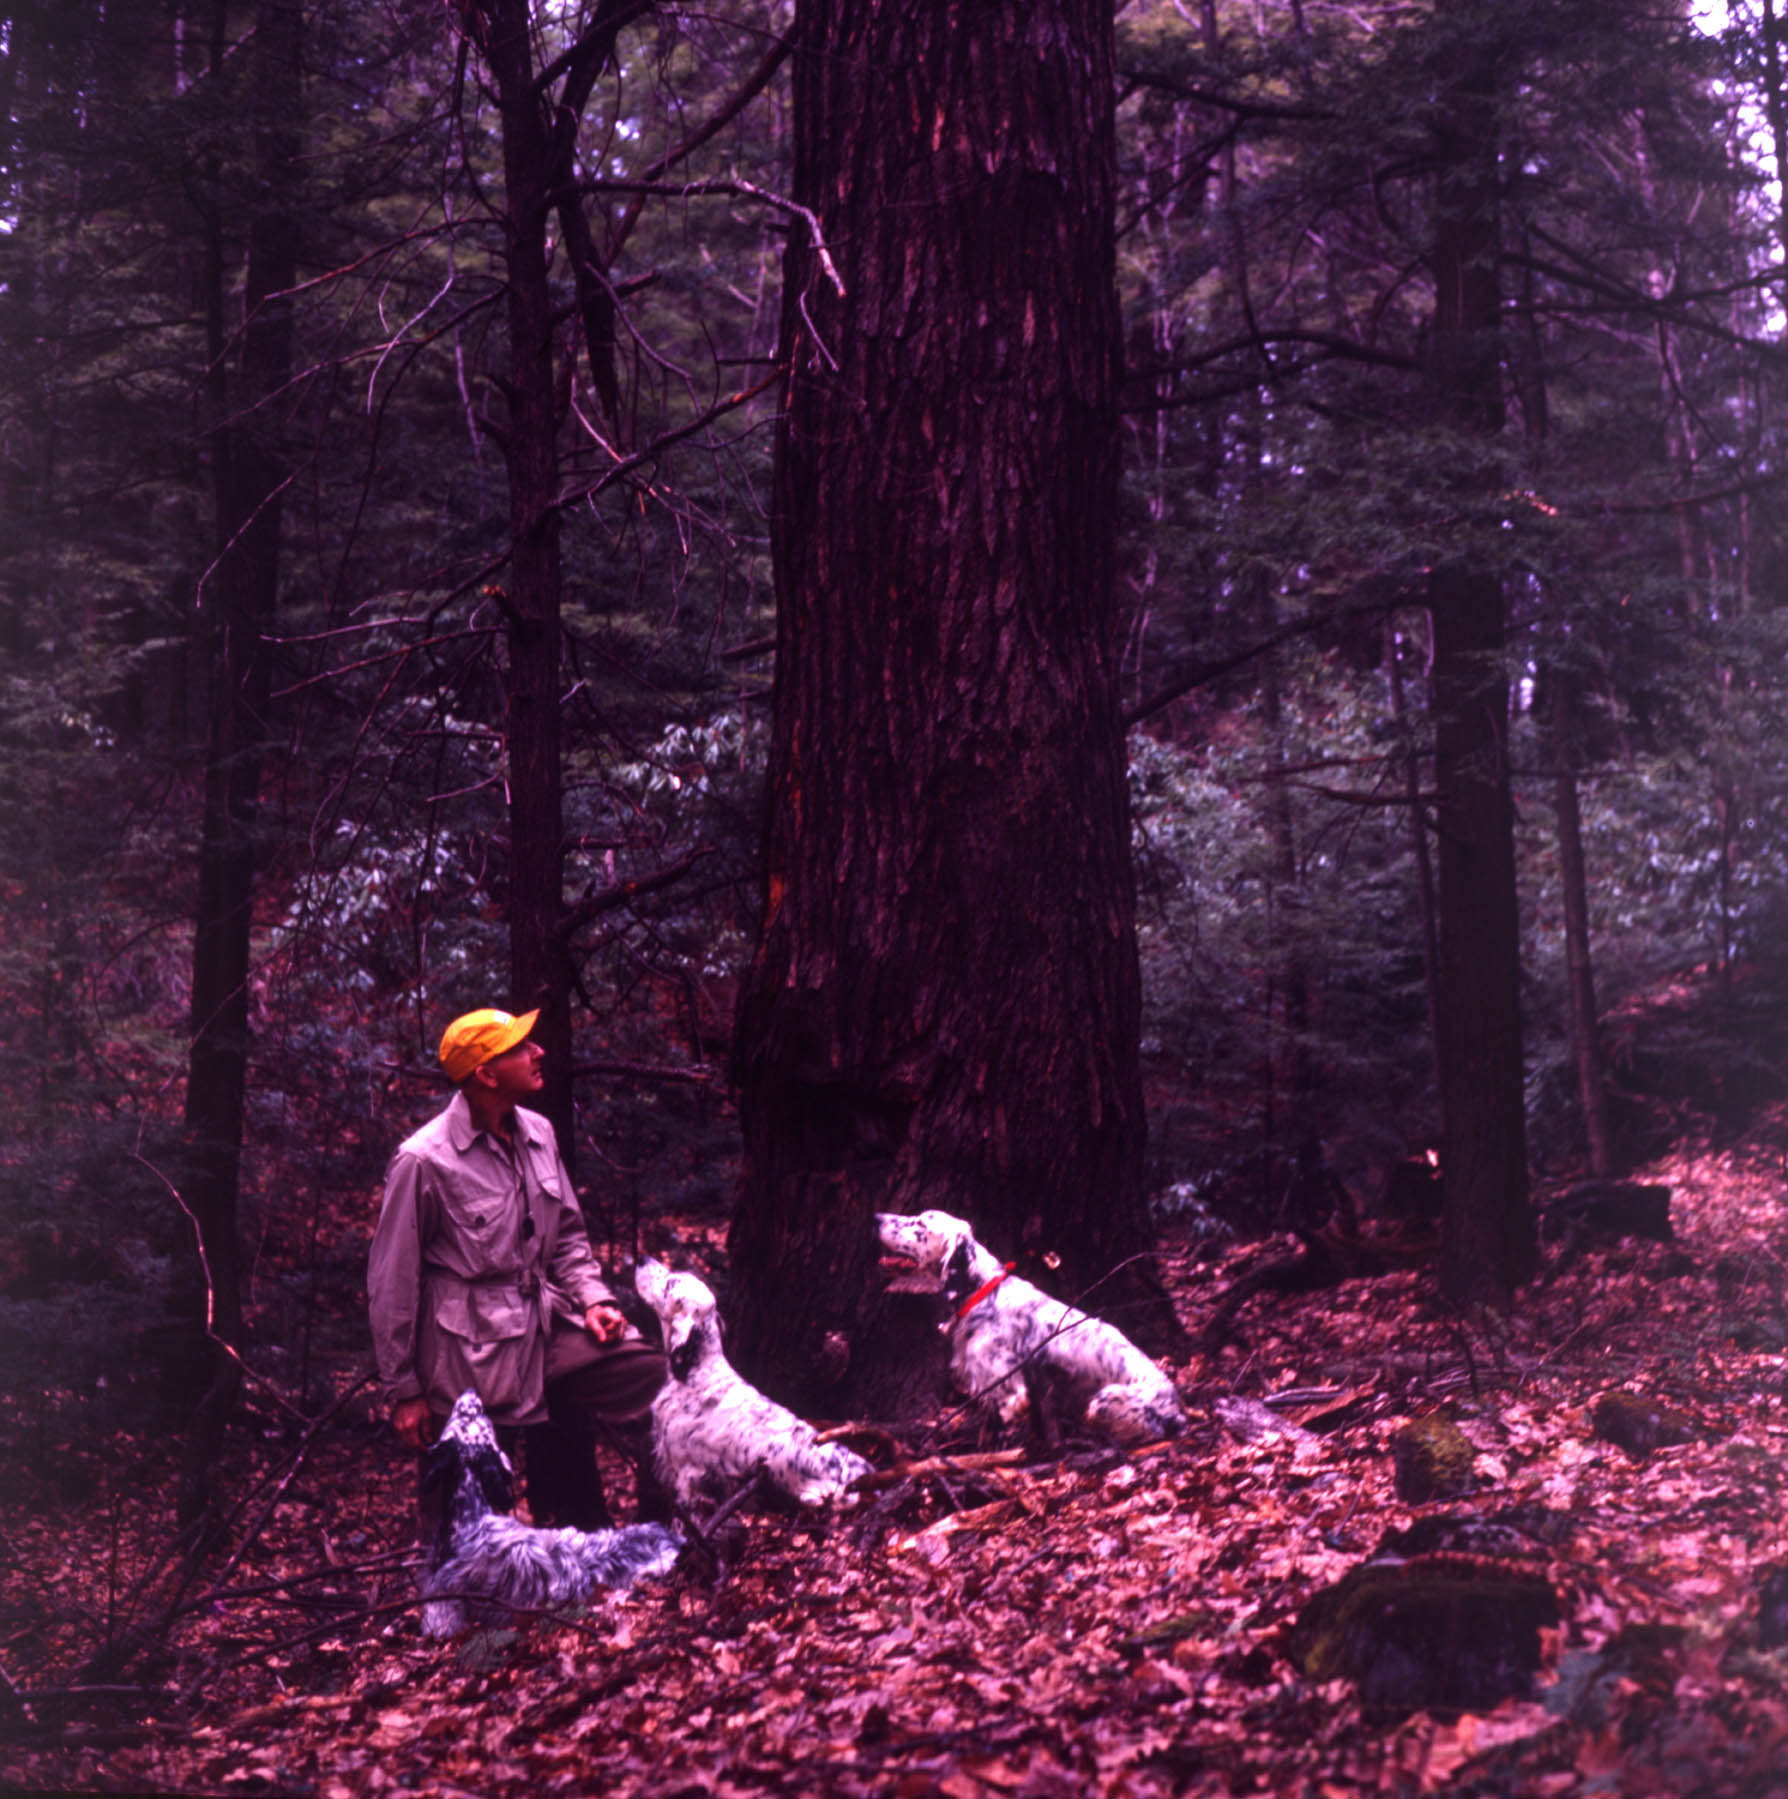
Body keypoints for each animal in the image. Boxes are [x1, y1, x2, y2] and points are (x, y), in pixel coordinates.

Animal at [874, 1208, 1187, 1446]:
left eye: (920, 1223)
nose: (876, 1217)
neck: (983, 1293)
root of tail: (1175, 1406)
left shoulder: (1008, 1390)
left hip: (1105, 1399)